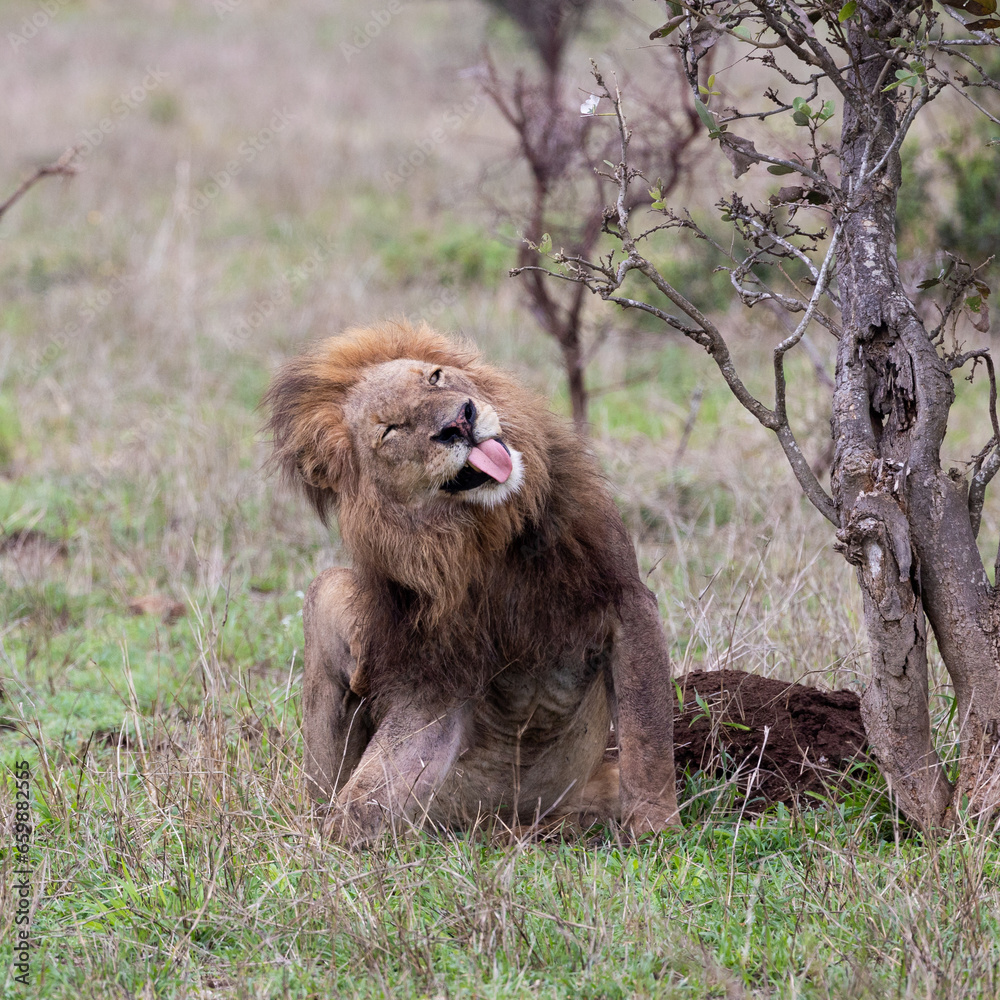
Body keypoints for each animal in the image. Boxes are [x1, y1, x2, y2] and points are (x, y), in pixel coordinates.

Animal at [264, 319, 678, 844]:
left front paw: (658, 831)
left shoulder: (625, 600)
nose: (459, 422)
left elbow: (648, 736)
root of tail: (502, 819)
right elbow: (367, 797)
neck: (485, 533)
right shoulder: (437, 670)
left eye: (435, 378)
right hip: (329, 593)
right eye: (391, 429)